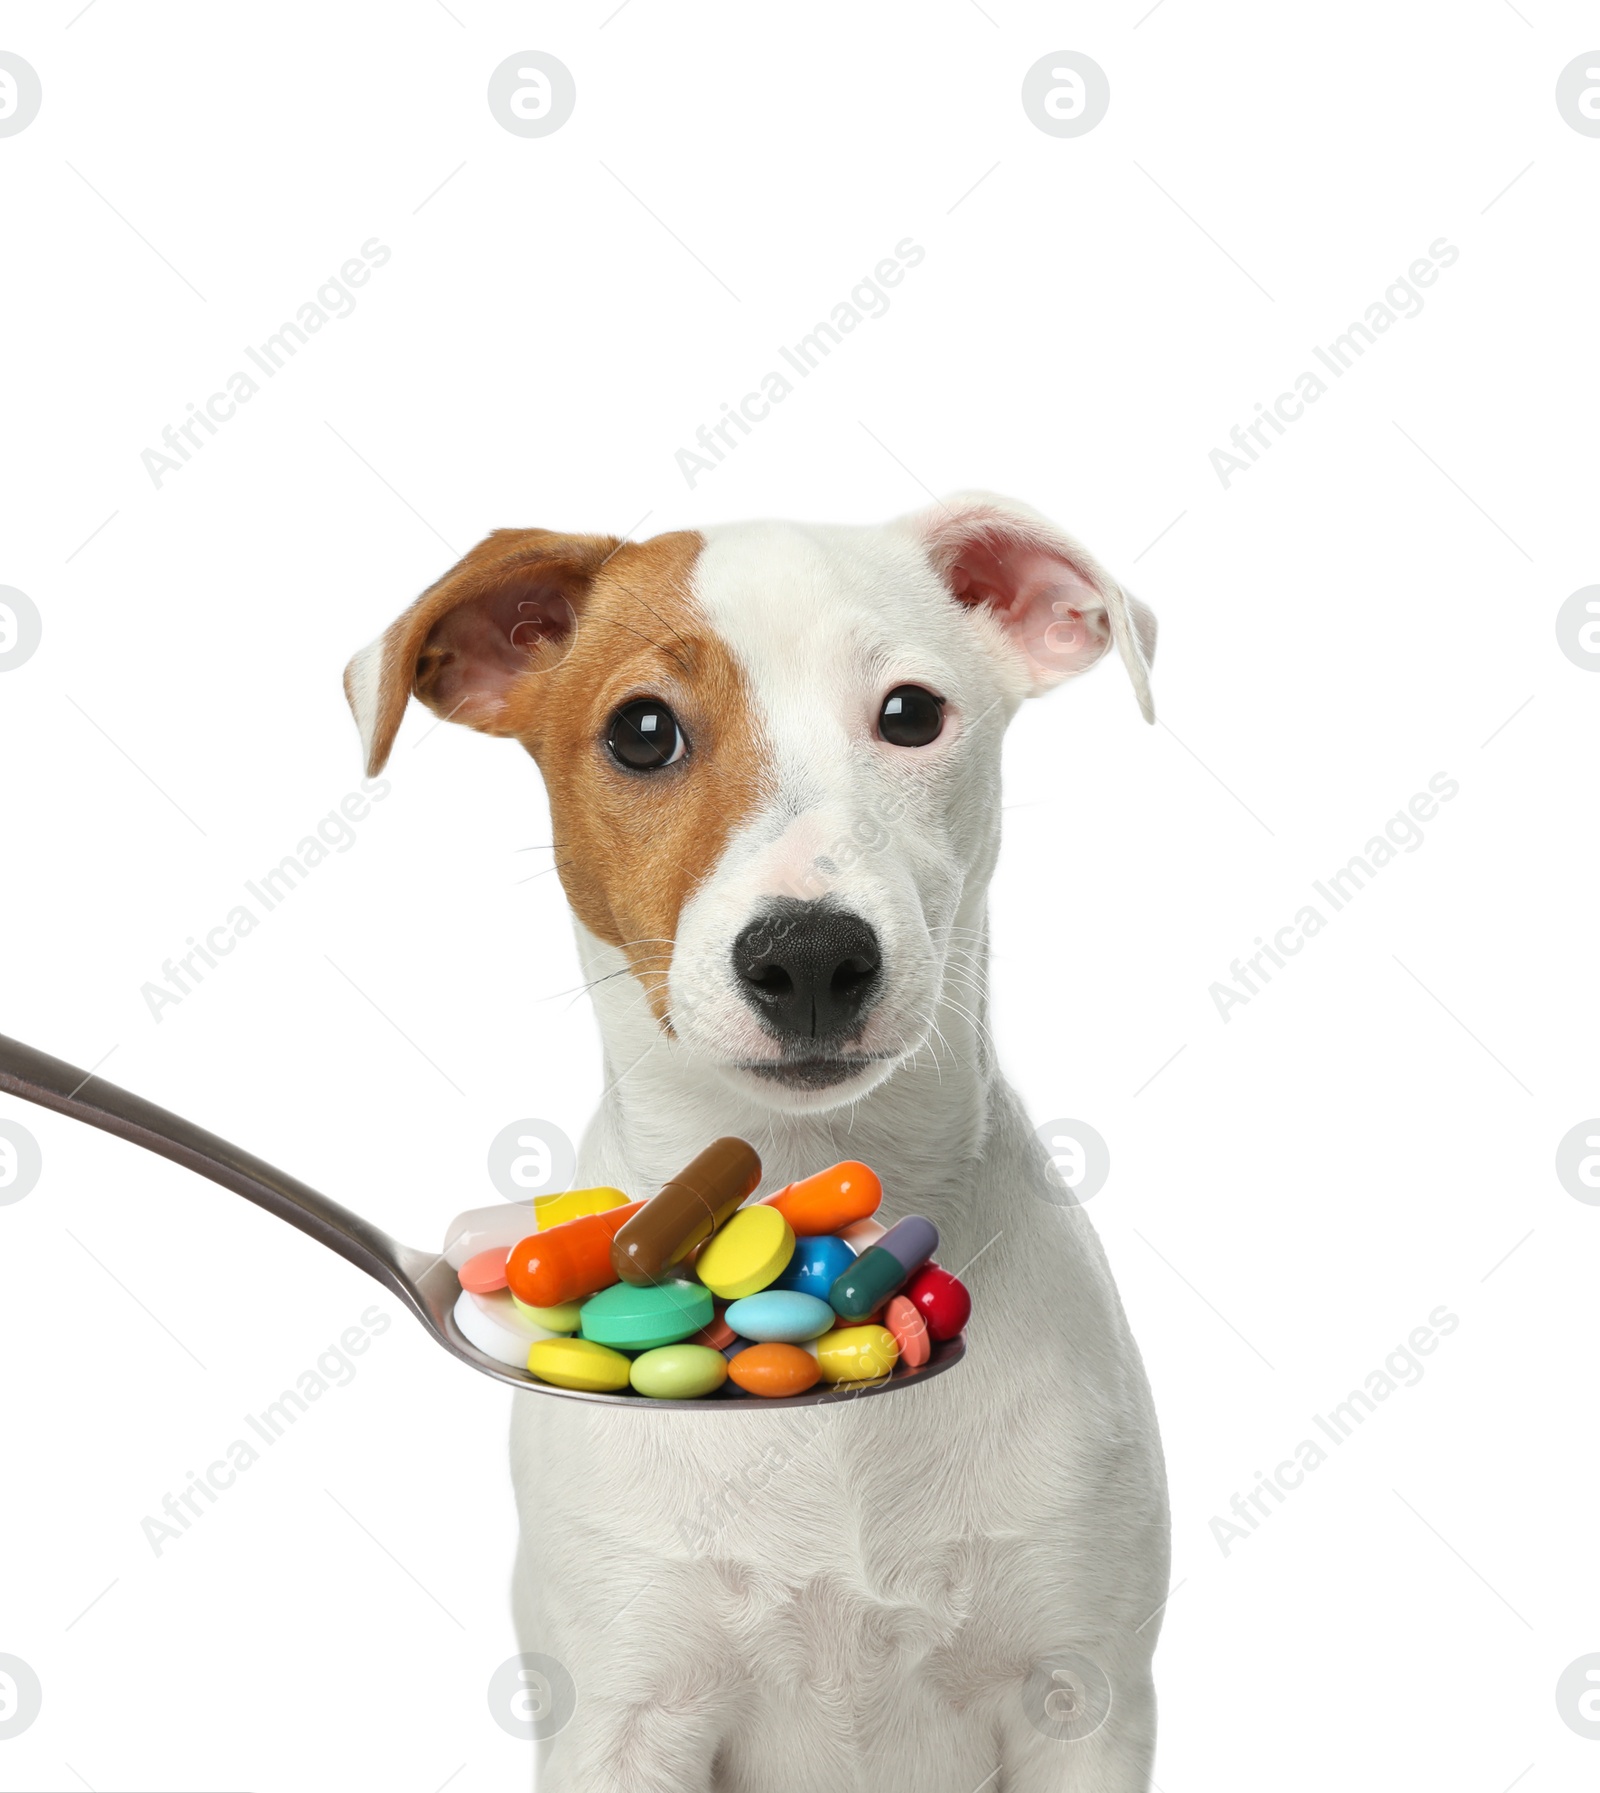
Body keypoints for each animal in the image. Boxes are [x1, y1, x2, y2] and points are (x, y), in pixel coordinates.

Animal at [346, 494, 1162, 1793]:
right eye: (641, 731)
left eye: (910, 713)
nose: (813, 953)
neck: (788, 1161)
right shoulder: (624, 1714)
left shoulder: (1078, 1699)